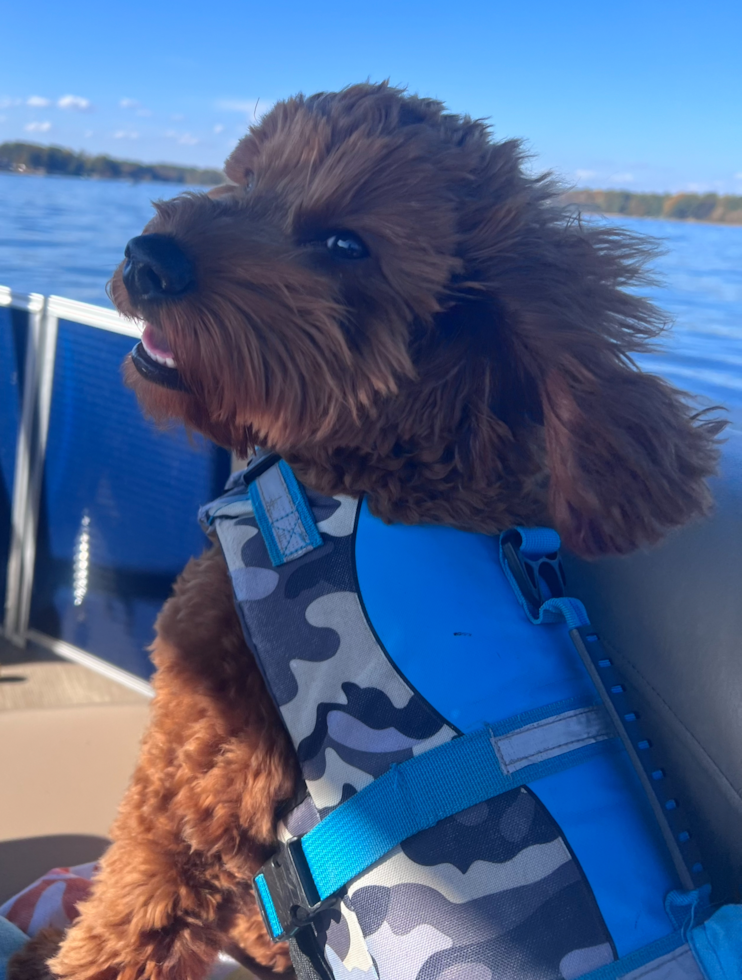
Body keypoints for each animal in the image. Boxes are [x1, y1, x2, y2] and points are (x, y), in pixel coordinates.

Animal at [8, 82, 724, 980]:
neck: (378, 460)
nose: (150, 259)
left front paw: (53, 954)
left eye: (346, 243)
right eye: (248, 176)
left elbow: (136, 898)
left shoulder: (199, 760)